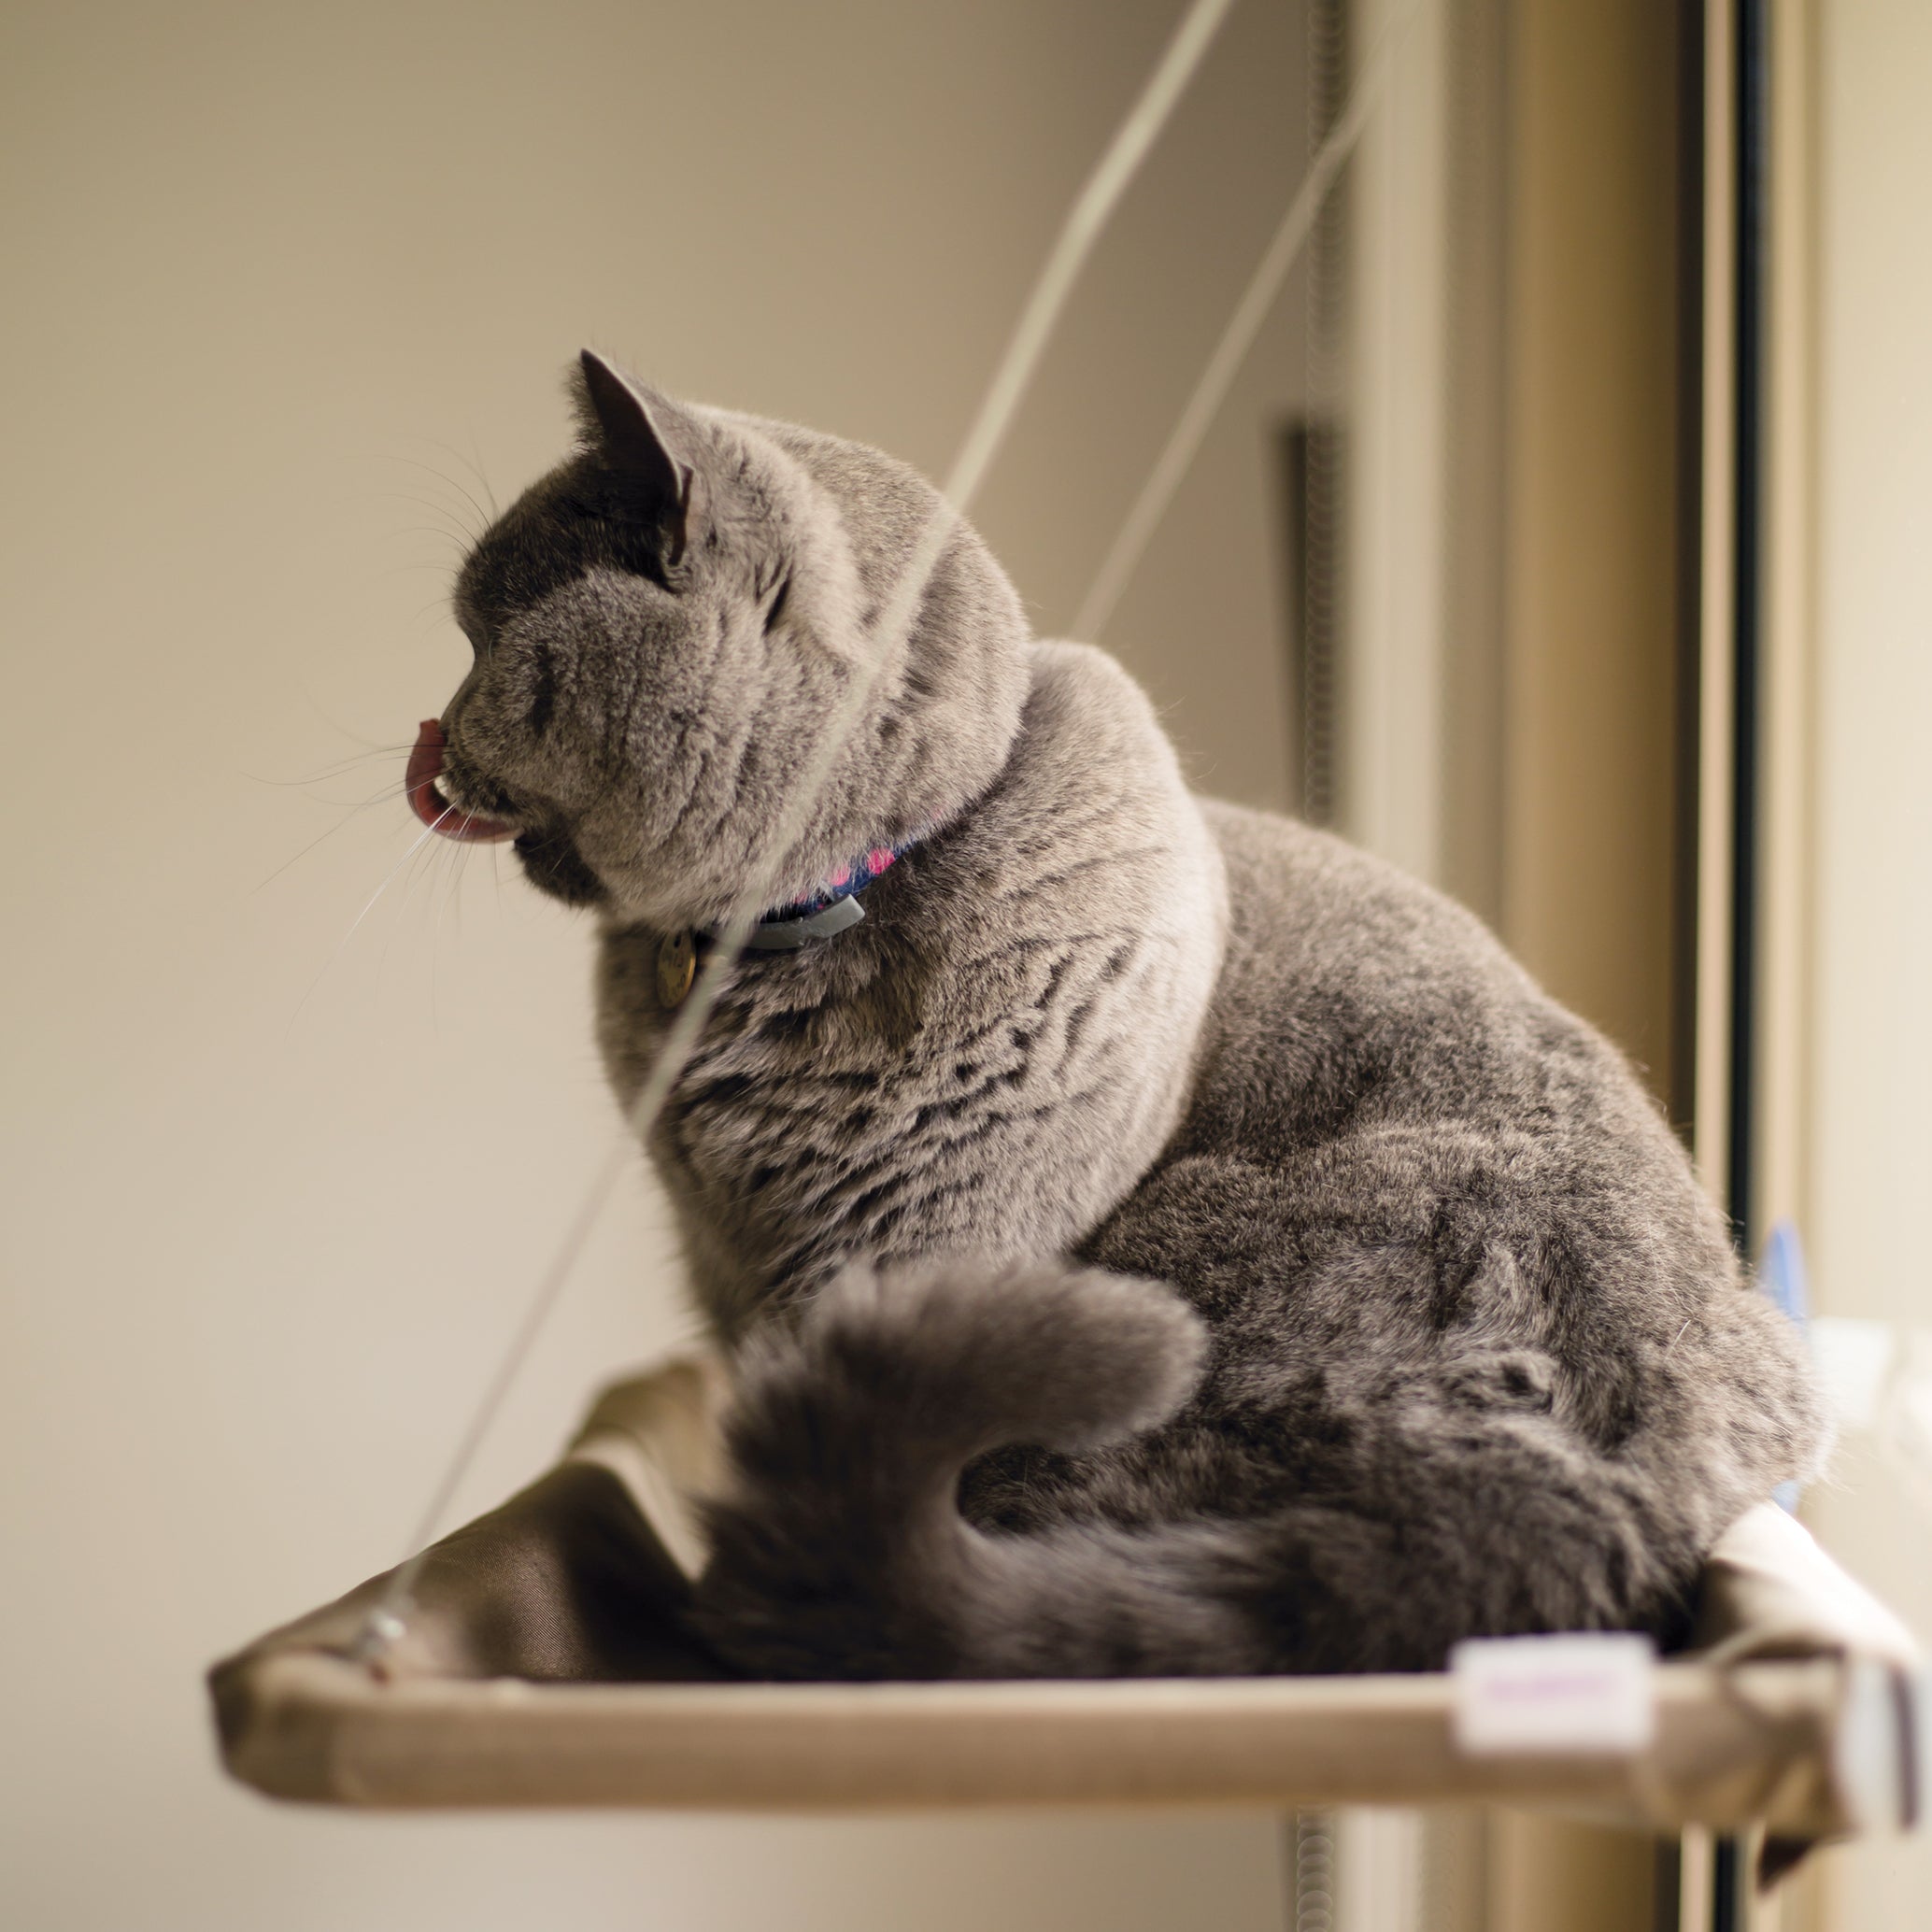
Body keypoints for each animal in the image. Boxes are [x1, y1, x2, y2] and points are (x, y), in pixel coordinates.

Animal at [415, 355, 1815, 1684]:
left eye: (490, 635)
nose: (429, 737)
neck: (766, 949)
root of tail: (1617, 1492)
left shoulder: (906, 1248)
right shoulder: (727, 1270)